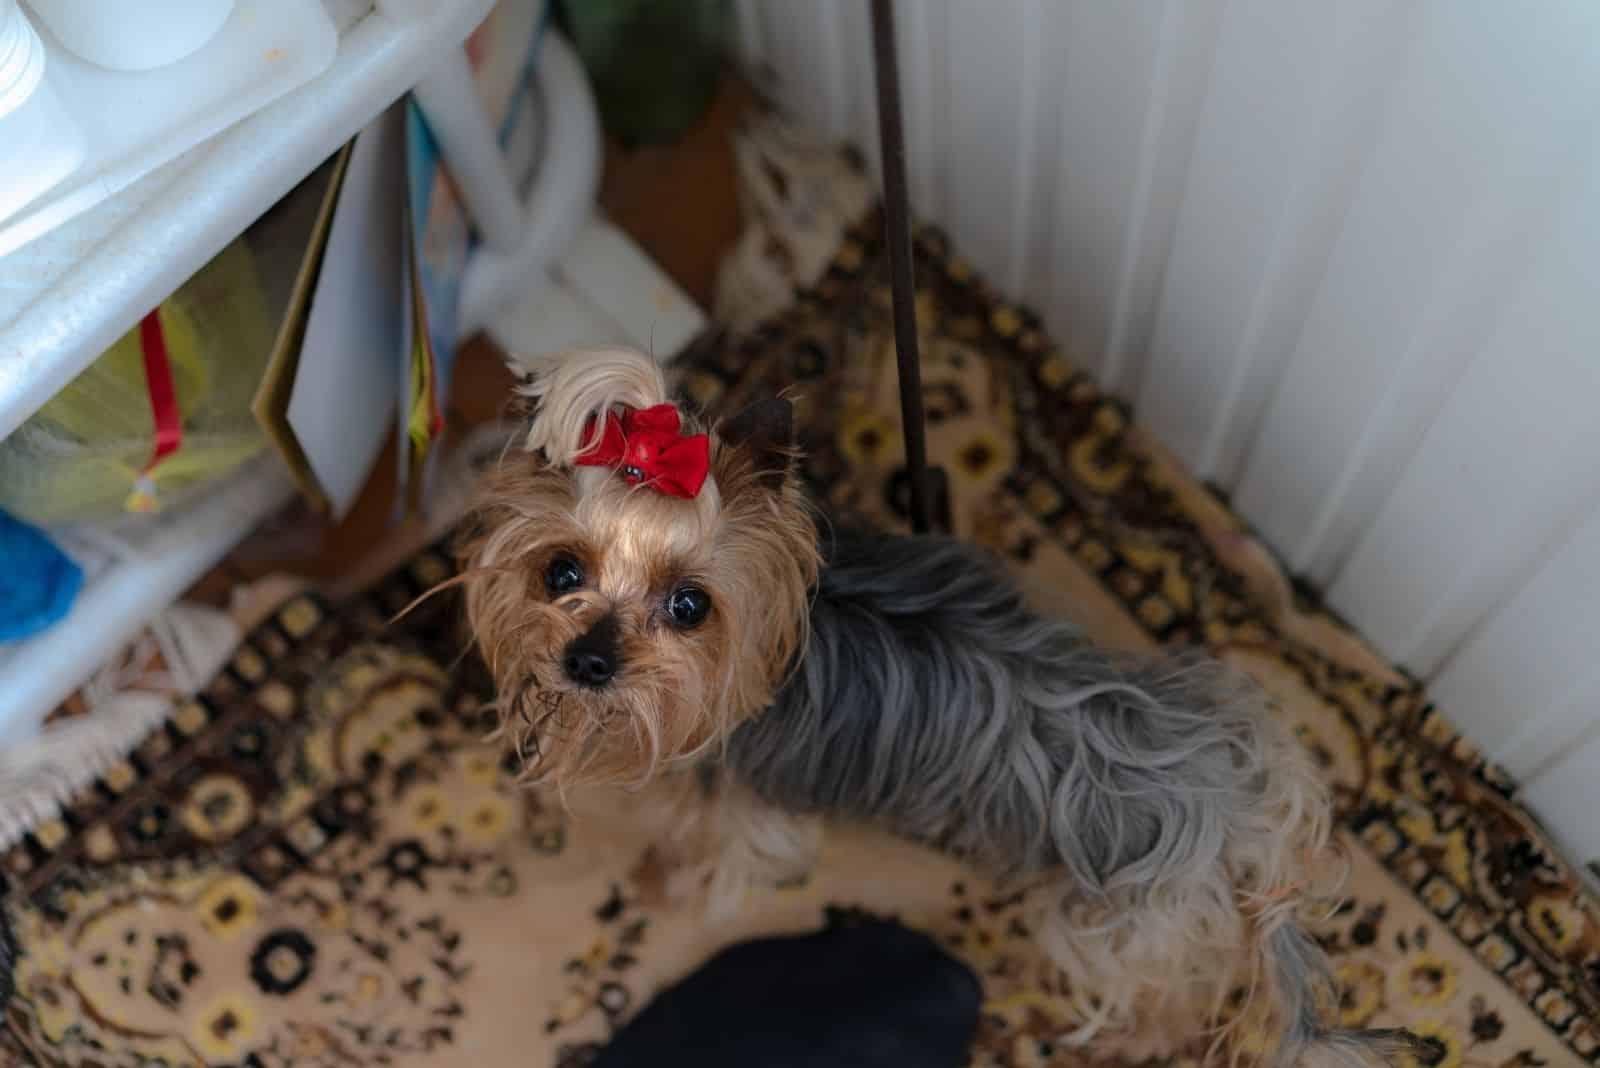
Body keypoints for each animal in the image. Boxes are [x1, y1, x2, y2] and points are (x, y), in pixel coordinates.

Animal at [457, 346, 1408, 1061]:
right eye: (561, 572)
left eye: (691, 605)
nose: (588, 661)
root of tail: (1249, 789)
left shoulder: (752, 815)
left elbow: (717, 853)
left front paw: (665, 882)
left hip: (1118, 919)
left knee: (1164, 990)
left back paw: (1128, 1042)